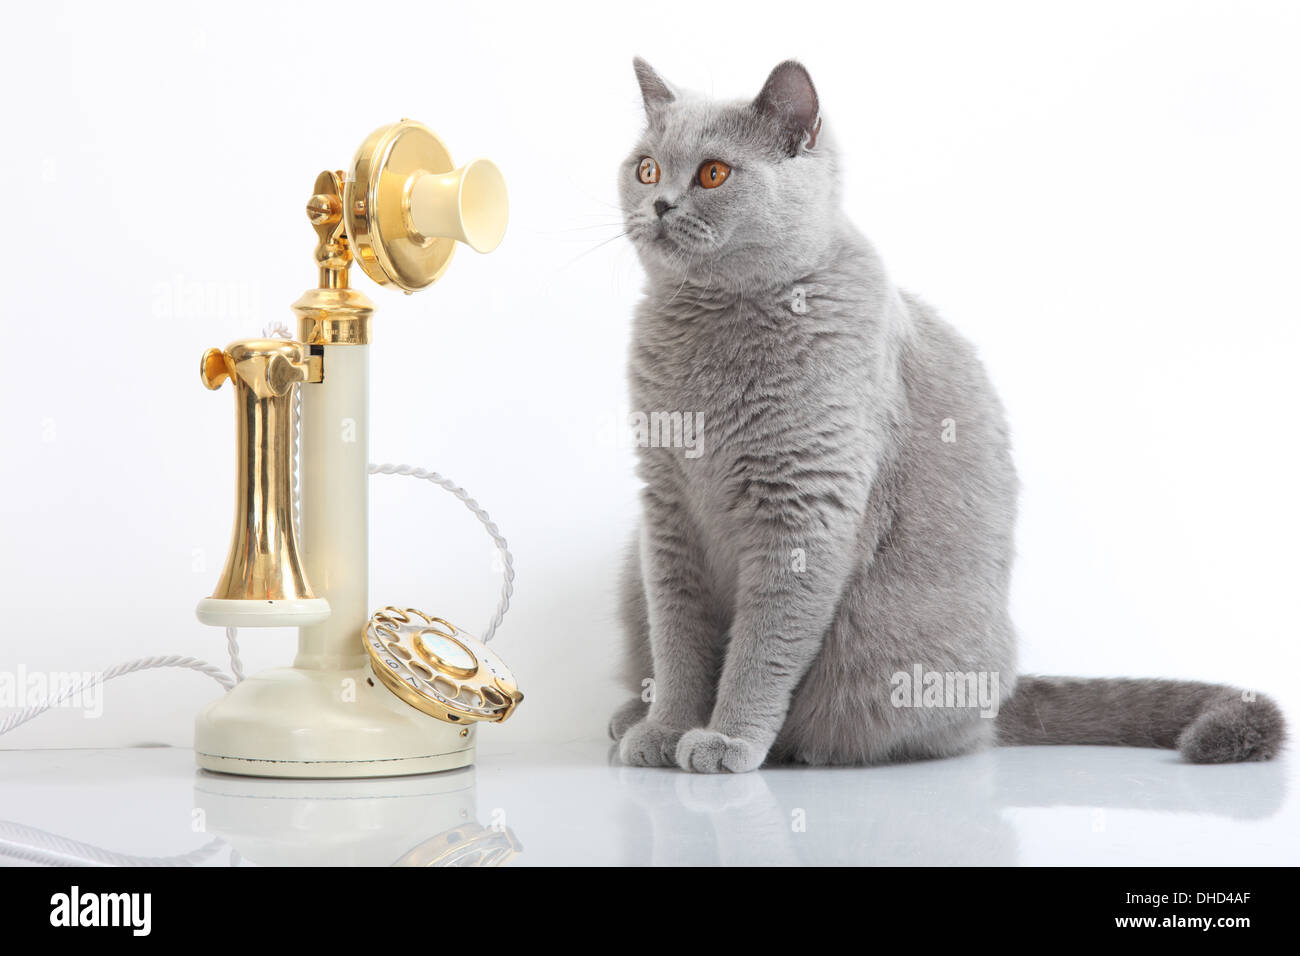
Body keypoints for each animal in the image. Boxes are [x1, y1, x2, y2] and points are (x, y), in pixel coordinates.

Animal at [613, 55, 1284, 775]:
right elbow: (677, 637)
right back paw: (629, 716)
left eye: (713, 173)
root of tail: (1004, 690)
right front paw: (665, 728)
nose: (659, 203)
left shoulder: (802, 509)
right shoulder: (666, 510)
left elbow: (764, 644)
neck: (713, 332)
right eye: (646, 168)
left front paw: (726, 738)